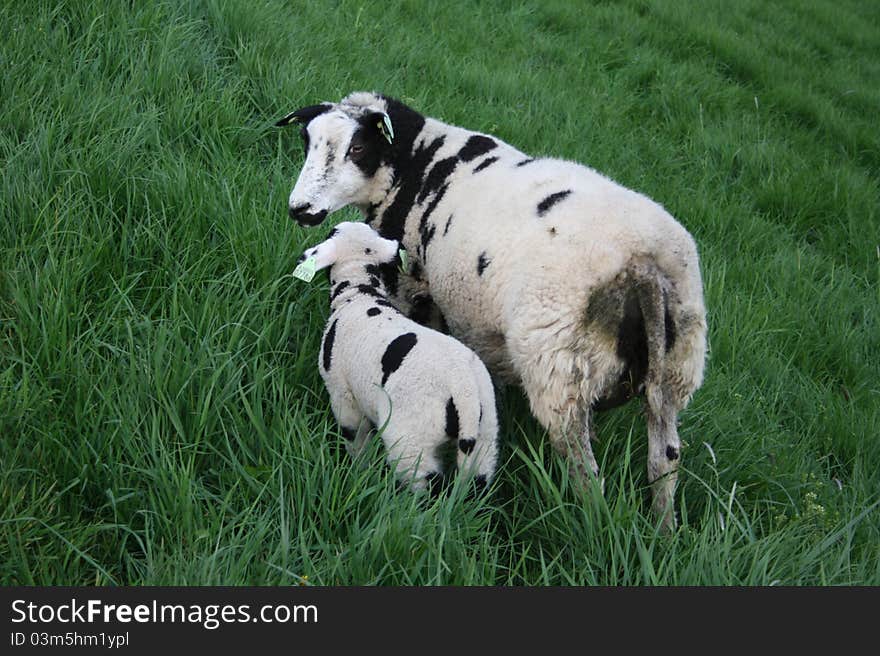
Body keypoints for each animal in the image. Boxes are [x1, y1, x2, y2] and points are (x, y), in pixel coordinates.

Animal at [300, 222, 498, 492]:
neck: (359, 293)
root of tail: (463, 389)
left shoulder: (342, 395)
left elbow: (356, 439)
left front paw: (358, 470)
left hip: (411, 439)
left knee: (424, 487)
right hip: (486, 433)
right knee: (478, 483)